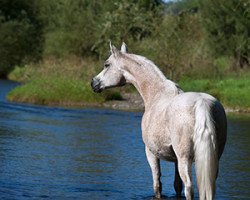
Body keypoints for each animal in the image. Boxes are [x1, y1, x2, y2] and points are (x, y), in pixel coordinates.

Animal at [91, 43, 227, 199]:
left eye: (107, 64)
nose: (93, 83)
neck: (156, 93)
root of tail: (201, 103)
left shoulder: (151, 153)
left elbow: (157, 185)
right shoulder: (175, 160)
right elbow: (177, 185)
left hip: (184, 158)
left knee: (189, 188)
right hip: (212, 158)